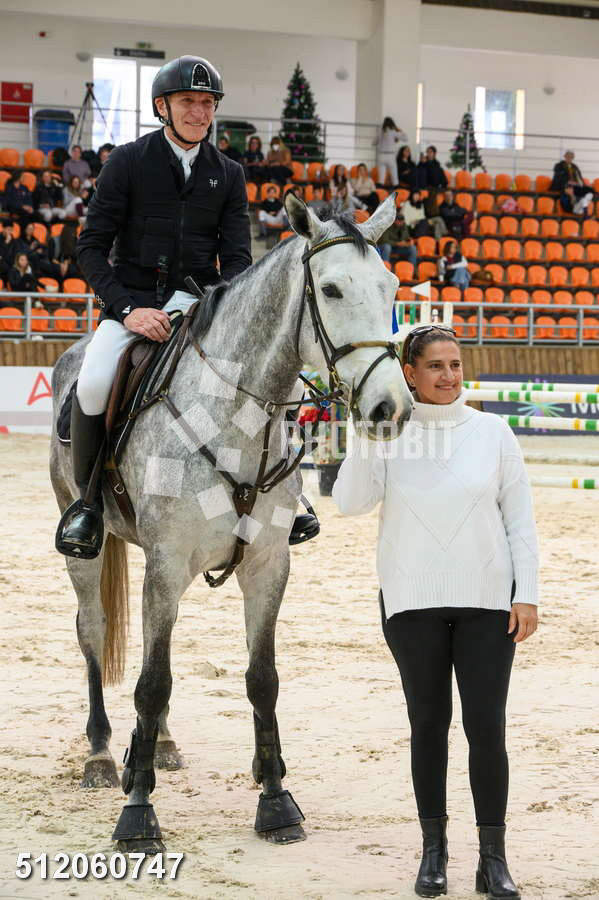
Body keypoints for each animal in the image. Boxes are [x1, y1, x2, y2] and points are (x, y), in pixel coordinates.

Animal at [49, 192, 413, 853]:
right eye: (330, 289)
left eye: (391, 287)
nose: (389, 409)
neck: (232, 416)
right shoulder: (167, 566)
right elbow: (153, 682)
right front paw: (137, 813)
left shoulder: (268, 564)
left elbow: (260, 679)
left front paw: (275, 801)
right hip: (88, 547)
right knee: (93, 631)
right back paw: (102, 755)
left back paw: (161, 745)